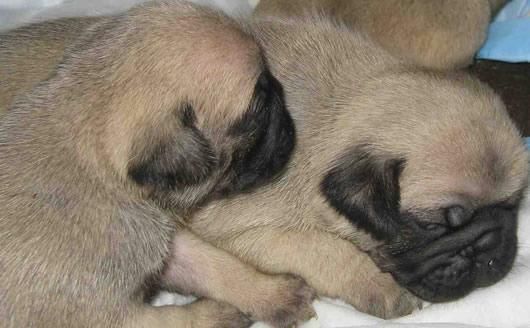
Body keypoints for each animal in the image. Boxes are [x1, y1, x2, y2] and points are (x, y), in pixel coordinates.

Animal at [0, 2, 314, 328]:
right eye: (260, 109)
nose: (288, 118)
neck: (101, 175)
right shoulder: (112, 316)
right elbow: (177, 317)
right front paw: (217, 315)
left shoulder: (169, 245)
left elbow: (217, 265)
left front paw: (275, 295)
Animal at [183, 16, 528, 320]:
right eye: (433, 227)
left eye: (512, 206)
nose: (488, 244)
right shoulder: (245, 232)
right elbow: (326, 250)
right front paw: (381, 287)